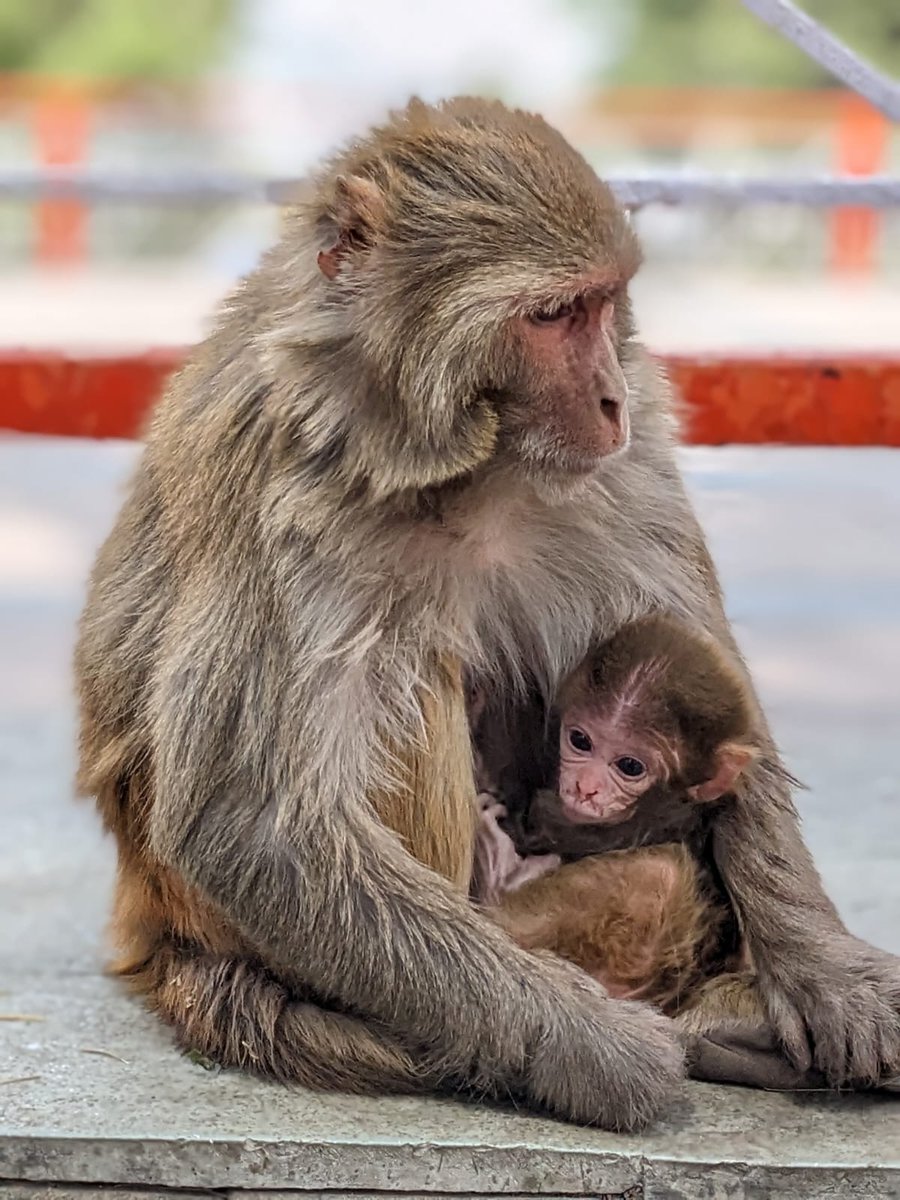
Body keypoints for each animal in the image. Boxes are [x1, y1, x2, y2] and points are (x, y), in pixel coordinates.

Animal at [74, 96, 900, 1132]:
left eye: (602, 305)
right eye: (550, 315)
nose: (614, 399)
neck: (462, 463)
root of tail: (154, 932)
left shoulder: (624, 472)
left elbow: (713, 683)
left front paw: (828, 973)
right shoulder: (276, 482)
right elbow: (252, 824)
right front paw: (592, 1051)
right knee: (412, 675)